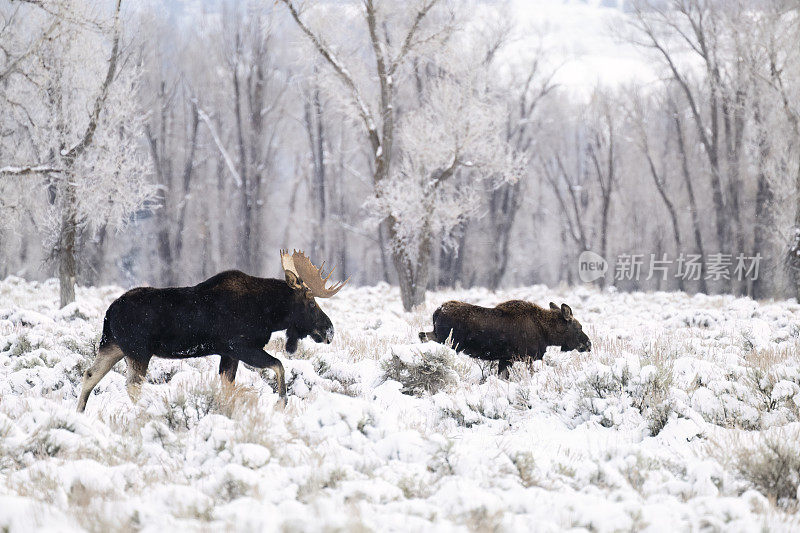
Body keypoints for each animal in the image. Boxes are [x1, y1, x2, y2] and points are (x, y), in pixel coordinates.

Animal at [77, 248, 346, 412]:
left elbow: (228, 387)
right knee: (132, 386)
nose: (329, 330)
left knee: (90, 374)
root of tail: (109, 312)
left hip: (113, 346)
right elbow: (279, 365)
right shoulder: (241, 346)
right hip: (138, 351)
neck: (269, 313)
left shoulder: (228, 354)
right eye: (311, 303)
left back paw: (79, 412)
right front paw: (281, 403)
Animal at [422, 300, 592, 378]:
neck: (547, 333)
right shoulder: (525, 357)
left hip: (437, 335)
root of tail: (437, 312)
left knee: (422, 335)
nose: (589, 344)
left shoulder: (505, 359)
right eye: (579, 327)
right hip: (447, 341)